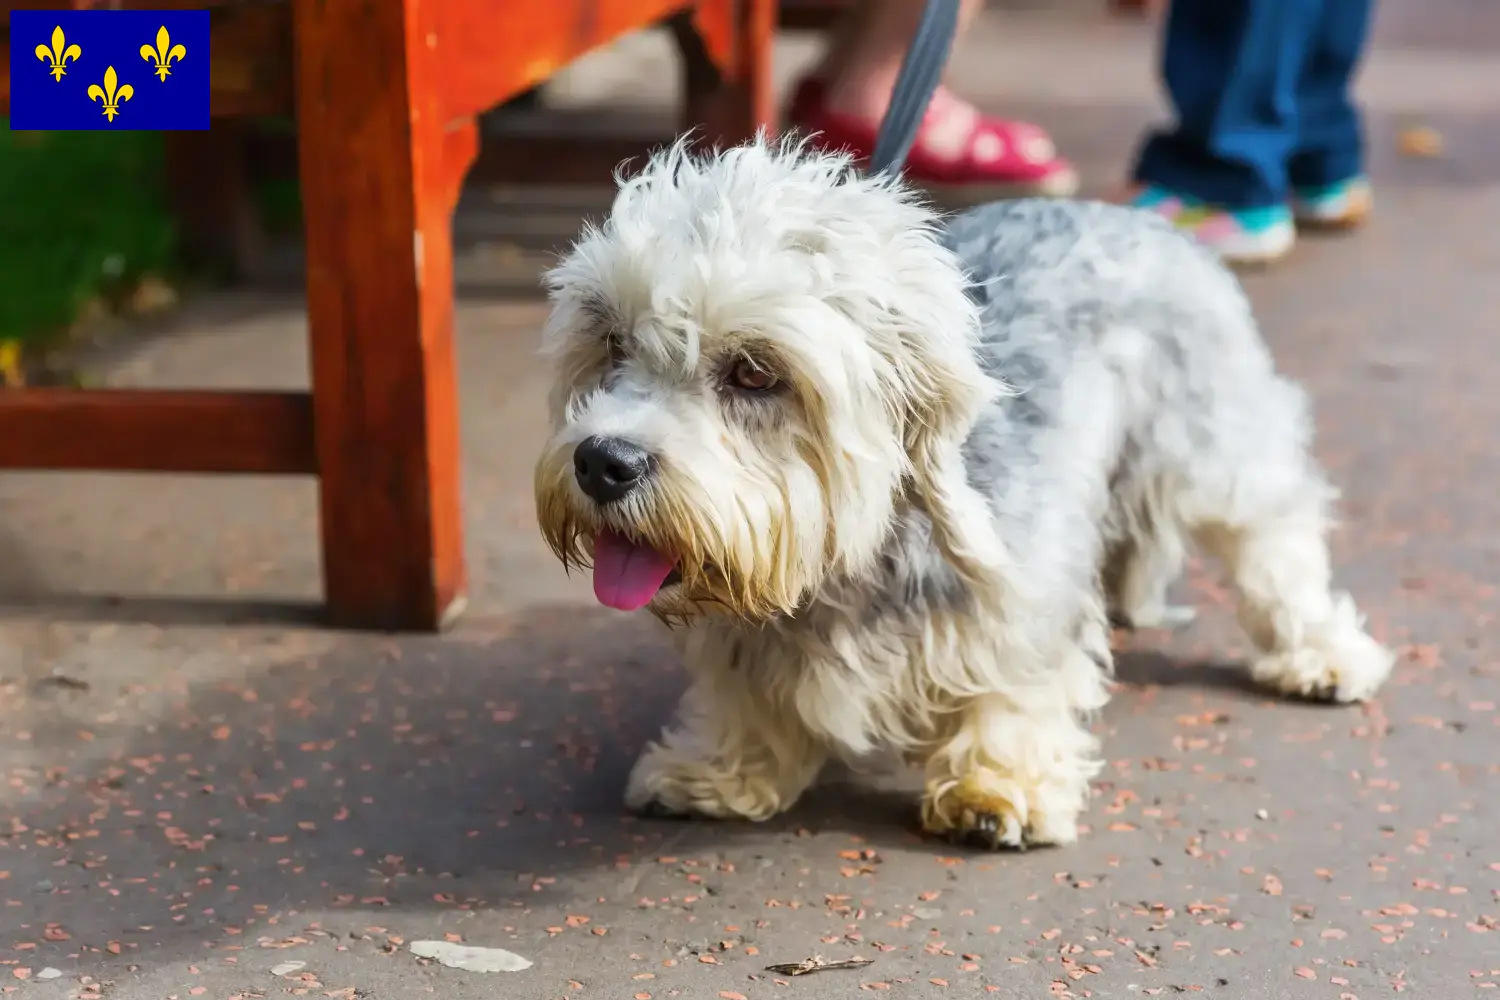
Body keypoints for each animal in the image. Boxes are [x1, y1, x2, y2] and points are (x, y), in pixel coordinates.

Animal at [531, 134, 1392, 851]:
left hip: (1213, 449)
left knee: (1276, 542)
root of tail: (1138, 219)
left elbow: (1018, 683)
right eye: (612, 342)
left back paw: (1318, 653)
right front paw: (721, 769)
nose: (604, 462)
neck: (854, 559)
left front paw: (997, 786)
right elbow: (747, 697)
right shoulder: (743, 632)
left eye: (753, 372)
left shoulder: (1028, 596)